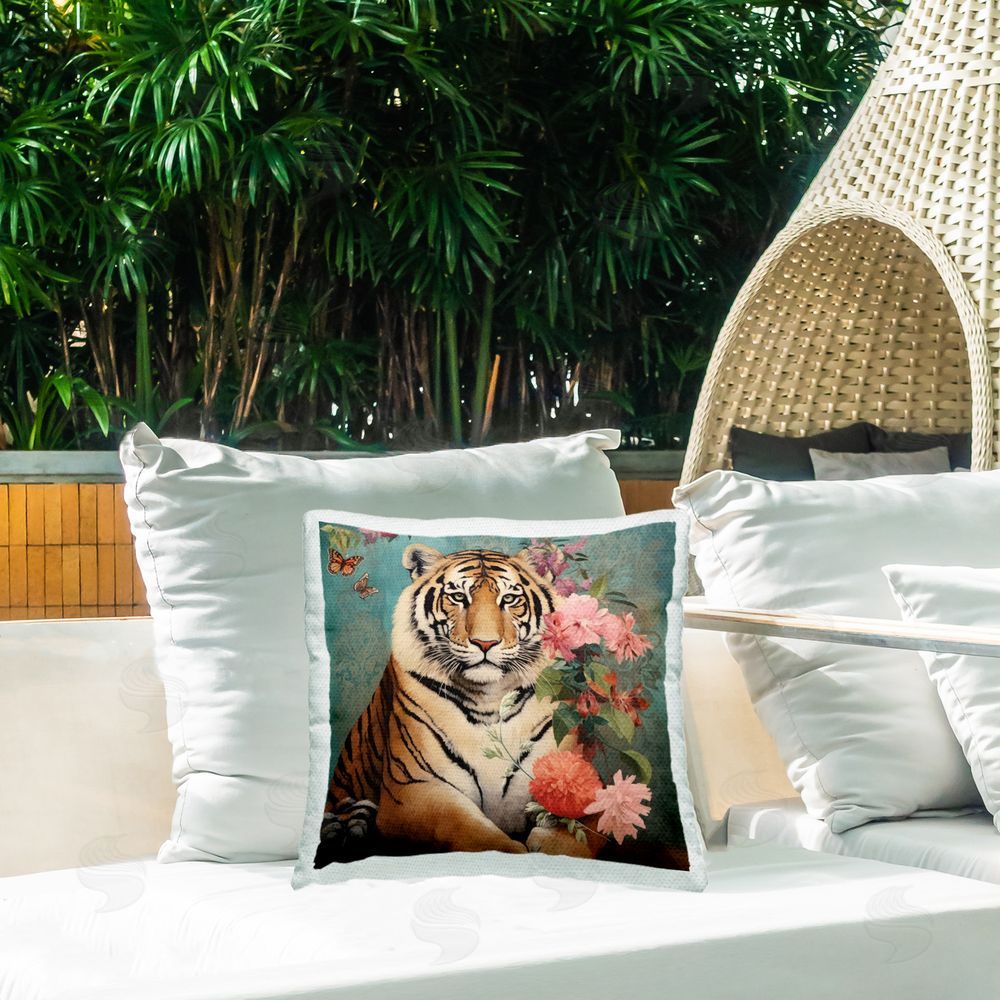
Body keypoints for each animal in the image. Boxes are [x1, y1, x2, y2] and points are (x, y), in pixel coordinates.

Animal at [315, 543, 568, 867]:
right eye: (458, 597)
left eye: (510, 599)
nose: (485, 643)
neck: (488, 698)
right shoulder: (414, 790)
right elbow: (474, 833)